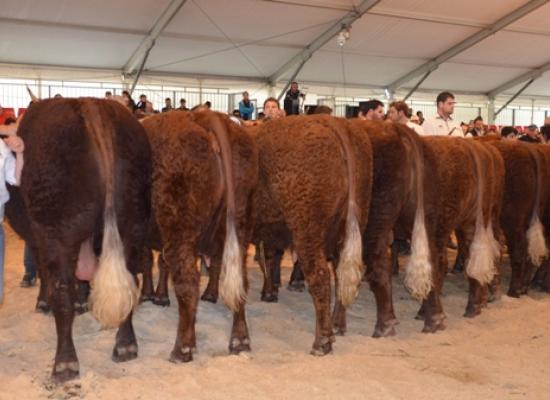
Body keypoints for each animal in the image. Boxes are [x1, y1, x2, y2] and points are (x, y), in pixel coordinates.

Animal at [140, 110, 256, 362]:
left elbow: (146, 263)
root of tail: (202, 115)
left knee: (187, 282)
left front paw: (148, 295)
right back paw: (239, 340)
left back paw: (182, 348)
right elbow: (160, 263)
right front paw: (159, 296)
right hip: (239, 224)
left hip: (178, 227)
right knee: (239, 280)